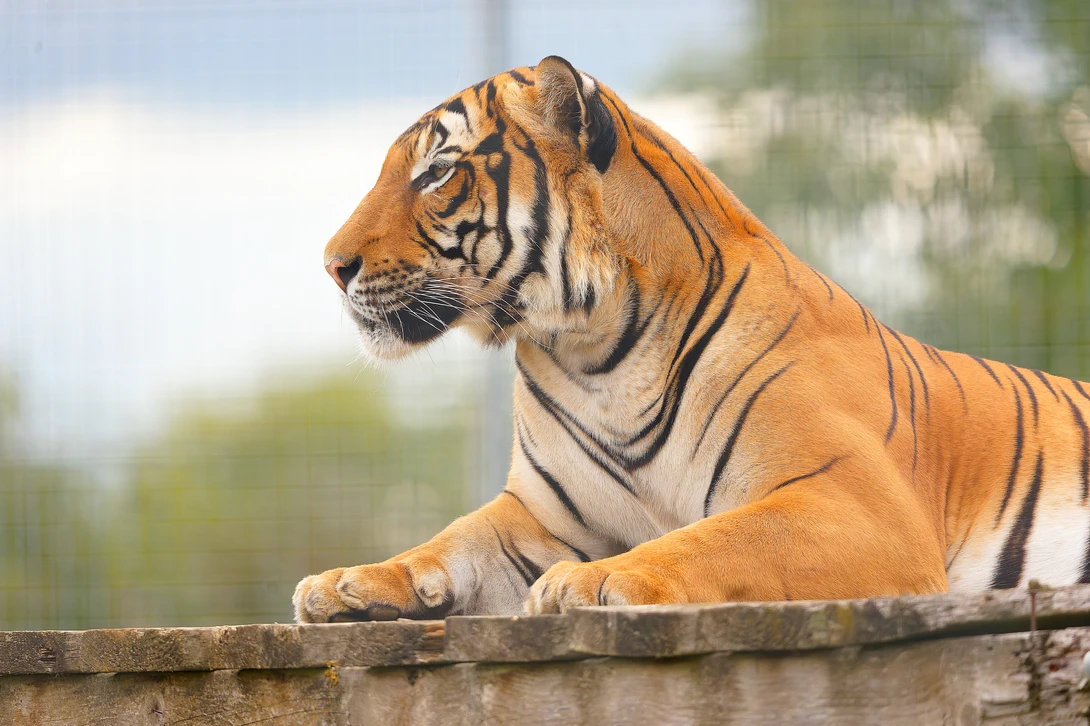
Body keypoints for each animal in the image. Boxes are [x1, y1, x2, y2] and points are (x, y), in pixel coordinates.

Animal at [293, 55, 1090, 622]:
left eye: (437, 172)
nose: (331, 265)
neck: (595, 355)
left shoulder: (855, 502)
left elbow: (713, 538)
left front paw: (593, 580)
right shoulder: (541, 515)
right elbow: (449, 541)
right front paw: (346, 583)